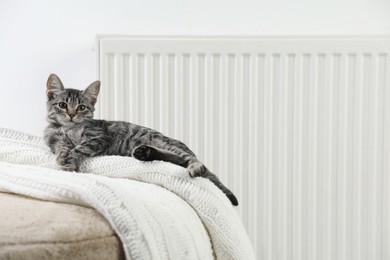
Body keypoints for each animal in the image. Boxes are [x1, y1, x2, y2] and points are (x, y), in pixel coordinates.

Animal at [42, 74, 238, 206]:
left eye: (81, 107)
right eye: (63, 105)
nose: (71, 114)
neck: (69, 128)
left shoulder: (98, 137)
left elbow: (81, 147)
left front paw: (71, 160)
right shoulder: (53, 140)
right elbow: (60, 147)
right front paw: (63, 155)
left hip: (167, 143)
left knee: (190, 161)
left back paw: (194, 166)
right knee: (177, 159)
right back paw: (145, 152)